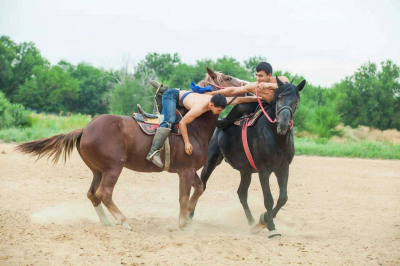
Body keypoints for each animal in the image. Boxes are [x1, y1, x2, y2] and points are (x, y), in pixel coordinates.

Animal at [14, 68, 242, 231]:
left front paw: (188, 216)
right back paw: (123, 221)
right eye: (228, 77)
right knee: (104, 192)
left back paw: (107, 222)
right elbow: (184, 197)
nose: (244, 85)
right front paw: (182, 223)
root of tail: (85, 129)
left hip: (98, 170)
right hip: (113, 168)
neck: (193, 126)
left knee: (92, 194)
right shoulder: (185, 171)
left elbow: (199, 188)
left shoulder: (190, 170)